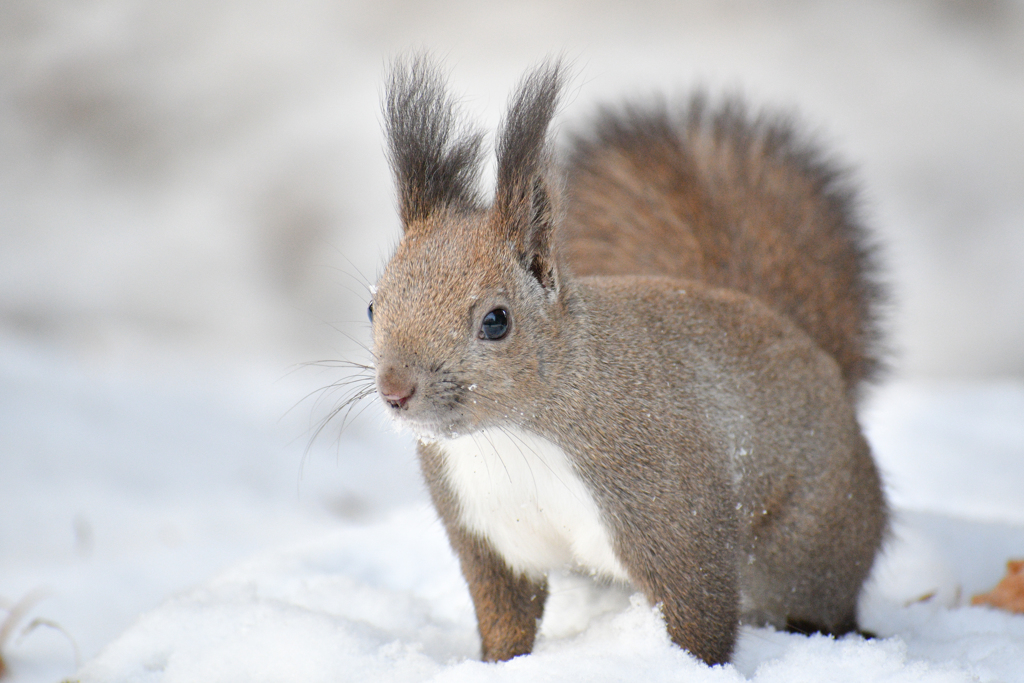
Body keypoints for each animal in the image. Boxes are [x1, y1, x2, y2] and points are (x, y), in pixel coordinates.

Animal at [368, 58, 888, 667]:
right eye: (373, 306)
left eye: (496, 321)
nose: (395, 390)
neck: (513, 434)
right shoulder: (486, 534)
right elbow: (505, 619)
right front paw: (497, 665)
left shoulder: (671, 511)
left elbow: (699, 615)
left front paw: (692, 668)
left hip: (812, 546)